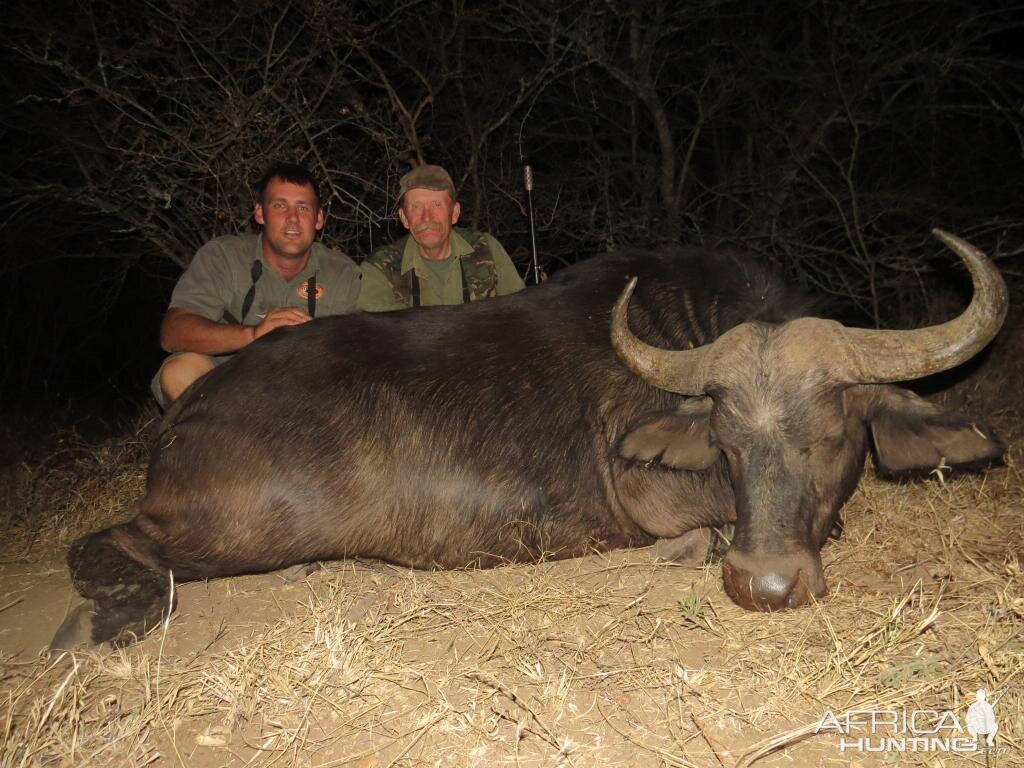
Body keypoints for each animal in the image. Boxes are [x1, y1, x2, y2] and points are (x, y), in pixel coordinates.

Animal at [51, 230, 1003, 651]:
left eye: (833, 432)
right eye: (726, 441)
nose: (764, 585)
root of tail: (186, 416)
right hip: (237, 527)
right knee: (108, 541)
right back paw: (109, 618)